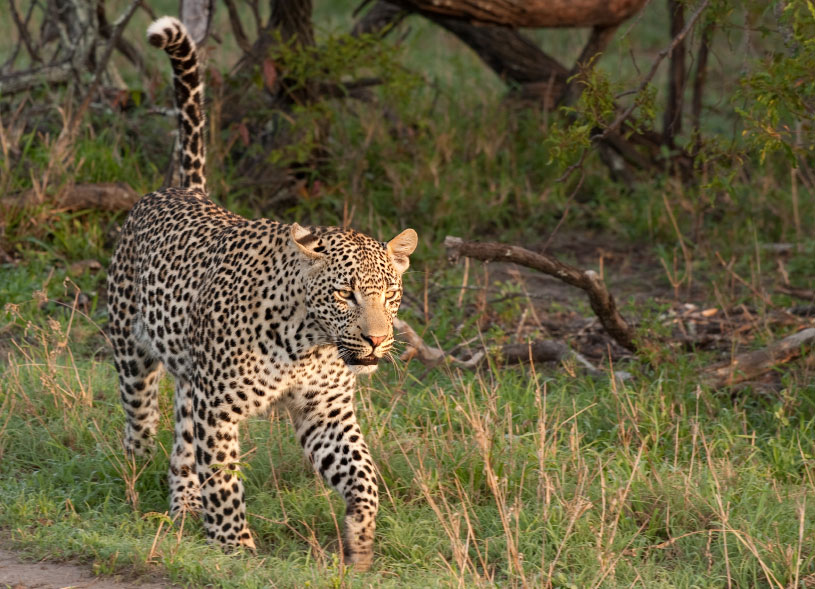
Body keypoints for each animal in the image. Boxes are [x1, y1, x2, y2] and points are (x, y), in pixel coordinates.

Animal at [105, 17, 418, 568]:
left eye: (390, 296)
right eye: (346, 295)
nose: (378, 341)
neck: (308, 341)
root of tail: (184, 190)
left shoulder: (325, 412)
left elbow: (363, 474)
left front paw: (360, 541)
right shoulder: (218, 406)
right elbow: (224, 477)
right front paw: (235, 549)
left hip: (189, 381)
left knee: (181, 447)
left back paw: (184, 508)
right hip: (133, 354)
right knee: (139, 427)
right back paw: (137, 487)